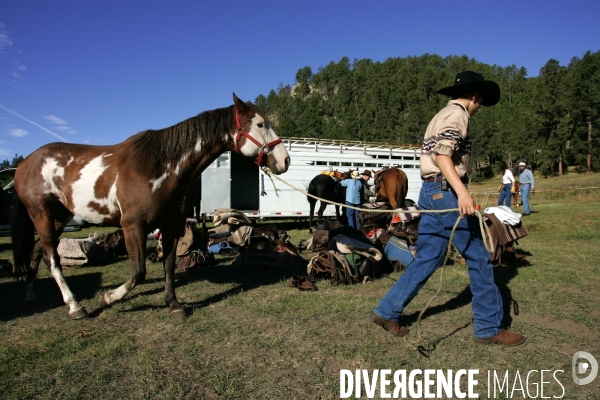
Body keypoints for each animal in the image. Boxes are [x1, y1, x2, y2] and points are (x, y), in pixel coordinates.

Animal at [10, 93, 290, 318]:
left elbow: (168, 264)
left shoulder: (173, 225)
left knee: (38, 250)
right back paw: (75, 306)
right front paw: (108, 298)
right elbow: (139, 272)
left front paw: (173, 304)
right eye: (260, 124)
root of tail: (25, 163)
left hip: (58, 217)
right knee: (52, 259)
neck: (162, 165)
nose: (284, 160)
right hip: (42, 215)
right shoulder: (133, 226)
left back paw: (30, 293)